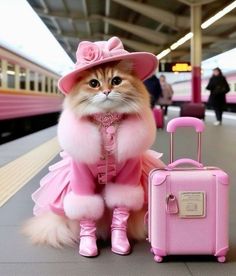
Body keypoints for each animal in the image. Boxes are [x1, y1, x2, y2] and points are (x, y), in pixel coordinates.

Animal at [23, 59, 165, 256]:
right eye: (93, 83)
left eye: (116, 81)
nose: (106, 91)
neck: (106, 122)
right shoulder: (81, 179)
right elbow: (86, 213)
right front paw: (88, 245)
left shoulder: (128, 177)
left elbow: (120, 211)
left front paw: (119, 242)